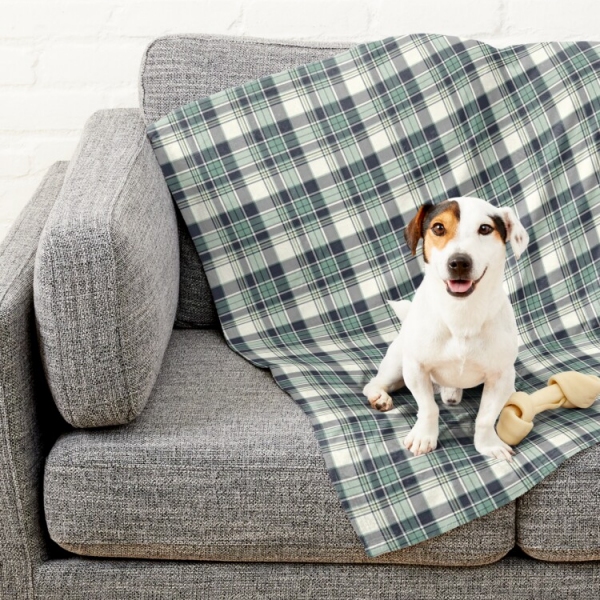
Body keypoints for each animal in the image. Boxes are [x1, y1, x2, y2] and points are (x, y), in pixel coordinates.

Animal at [364, 197, 528, 460]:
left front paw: (488, 445)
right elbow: (428, 408)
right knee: (373, 383)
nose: (459, 262)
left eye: (485, 228)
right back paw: (379, 396)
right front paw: (424, 437)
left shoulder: (501, 376)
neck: (461, 314)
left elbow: (485, 417)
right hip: (397, 364)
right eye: (439, 228)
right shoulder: (416, 368)